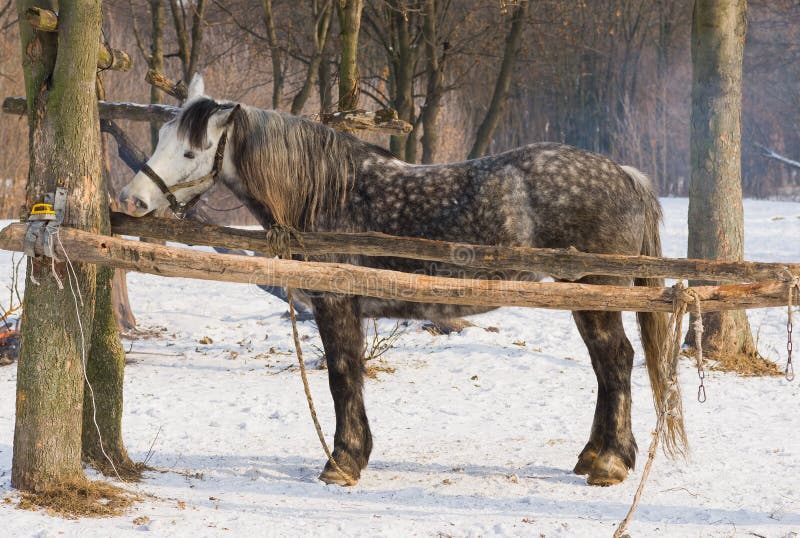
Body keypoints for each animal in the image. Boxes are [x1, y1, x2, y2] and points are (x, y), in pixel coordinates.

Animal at [119, 74, 686, 487]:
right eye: (162, 138)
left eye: (190, 152)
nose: (132, 200)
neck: (330, 193)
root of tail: (625, 174)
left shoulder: (336, 304)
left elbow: (343, 376)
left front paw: (343, 461)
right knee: (607, 366)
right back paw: (597, 456)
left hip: (595, 295)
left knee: (616, 361)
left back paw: (610, 463)